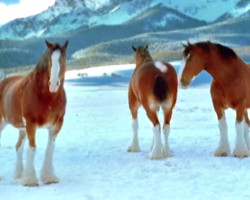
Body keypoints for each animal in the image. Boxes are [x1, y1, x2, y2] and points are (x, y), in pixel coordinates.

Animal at [0, 40, 68, 186]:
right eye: (49, 60)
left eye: (62, 59)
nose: (53, 84)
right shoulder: (31, 125)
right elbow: (32, 149)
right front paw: (30, 181)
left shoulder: (56, 125)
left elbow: (50, 149)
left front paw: (49, 177)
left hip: (22, 128)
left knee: (18, 147)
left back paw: (19, 174)